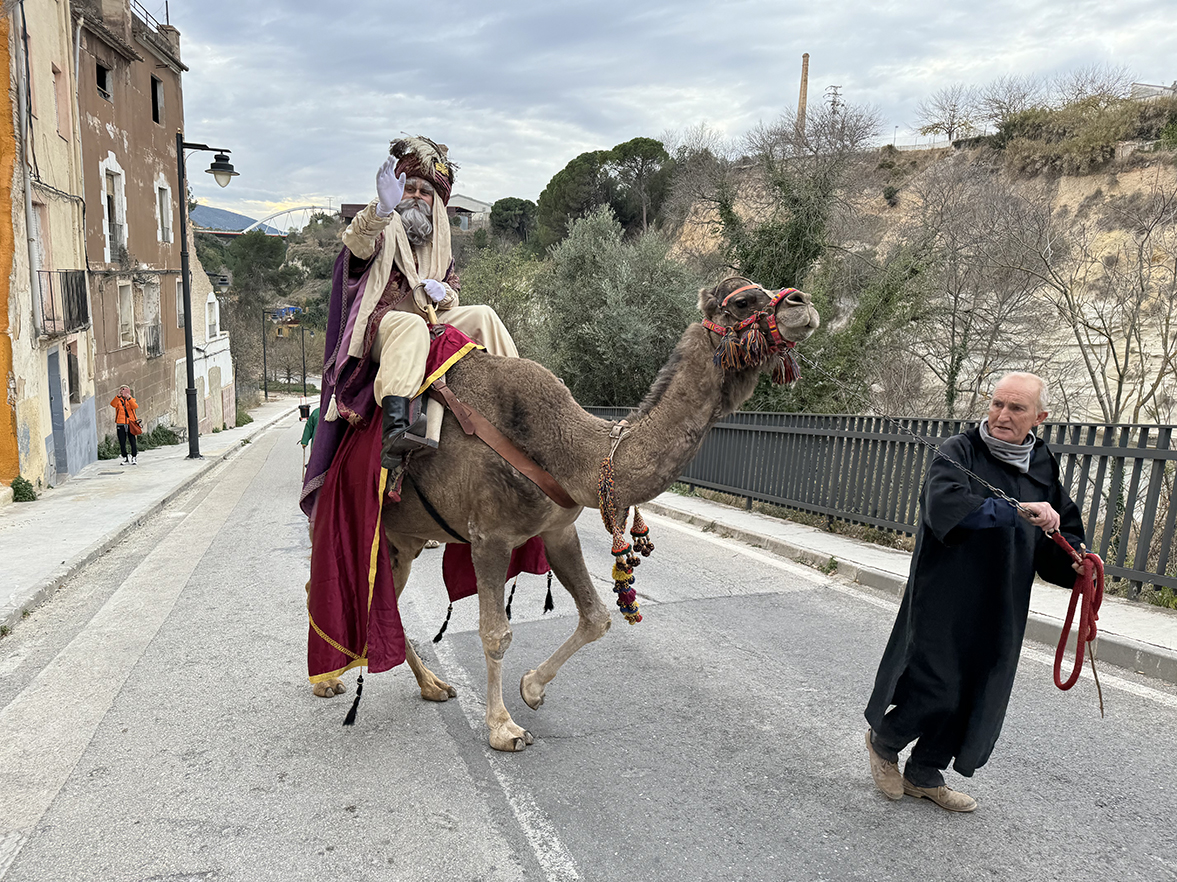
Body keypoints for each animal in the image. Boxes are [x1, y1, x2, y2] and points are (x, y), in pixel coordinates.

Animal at [313, 275, 819, 748]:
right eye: (742, 301)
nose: (803, 304)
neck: (571, 450)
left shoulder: (558, 530)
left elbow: (597, 616)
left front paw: (531, 689)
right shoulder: (489, 535)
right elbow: (496, 632)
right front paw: (503, 728)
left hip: (405, 540)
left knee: (385, 603)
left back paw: (430, 686)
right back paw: (331, 681)